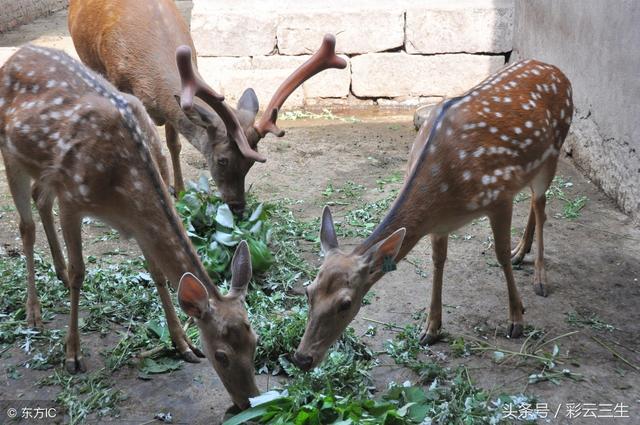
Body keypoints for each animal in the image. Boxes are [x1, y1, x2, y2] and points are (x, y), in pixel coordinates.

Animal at [0, 45, 260, 408]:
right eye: (221, 355)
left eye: (255, 342)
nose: (250, 402)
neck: (122, 186)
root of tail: (16, 55)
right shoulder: (72, 198)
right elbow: (81, 273)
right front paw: (72, 354)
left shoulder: (135, 222)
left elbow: (158, 274)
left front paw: (183, 344)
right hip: (11, 155)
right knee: (26, 227)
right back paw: (34, 311)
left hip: (43, 169)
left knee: (41, 199)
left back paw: (58, 272)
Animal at [68, 0, 348, 212]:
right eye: (222, 160)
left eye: (250, 164)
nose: (238, 207)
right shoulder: (120, 84)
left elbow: (174, 144)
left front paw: (180, 192)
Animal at [292, 58, 572, 368]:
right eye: (308, 291)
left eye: (346, 303)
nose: (302, 357)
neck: (446, 191)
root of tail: (556, 70)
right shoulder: (439, 224)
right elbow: (438, 262)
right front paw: (431, 328)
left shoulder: (499, 196)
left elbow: (499, 255)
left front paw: (516, 318)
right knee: (535, 203)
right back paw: (521, 251)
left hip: (555, 150)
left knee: (541, 206)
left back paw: (539, 279)